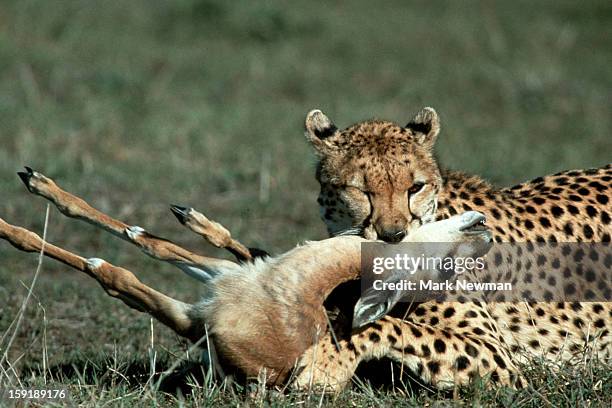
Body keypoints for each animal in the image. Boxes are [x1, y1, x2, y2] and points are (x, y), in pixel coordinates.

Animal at [294, 107, 608, 388]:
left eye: (415, 187)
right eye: (361, 191)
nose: (393, 235)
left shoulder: (497, 356)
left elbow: (382, 326)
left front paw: (323, 363)